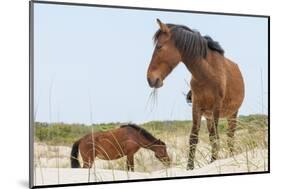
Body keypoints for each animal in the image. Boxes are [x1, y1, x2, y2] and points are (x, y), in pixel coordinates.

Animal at [147, 18, 243, 170]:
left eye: (159, 47)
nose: (150, 79)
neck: (207, 73)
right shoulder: (197, 107)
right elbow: (194, 138)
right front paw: (190, 167)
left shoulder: (216, 107)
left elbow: (216, 137)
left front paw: (214, 162)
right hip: (208, 116)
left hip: (232, 114)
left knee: (230, 136)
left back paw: (231, 156)